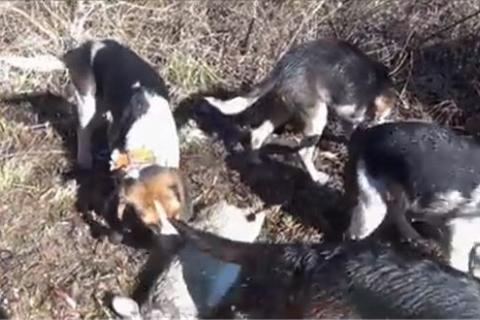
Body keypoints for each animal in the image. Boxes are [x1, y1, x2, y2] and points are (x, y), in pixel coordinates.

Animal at [204, 38, 396, 184]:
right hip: (318, 116)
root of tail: (285, 66)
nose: (380, 122)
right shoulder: (350, 114)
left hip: (283, 109)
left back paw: (255, 161)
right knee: (303, 152)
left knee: (258, 134)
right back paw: (317, 177)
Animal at [344, 121, 480, 274]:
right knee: (360, 226)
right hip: (371, 195)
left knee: (395, 211)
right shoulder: (461, 227)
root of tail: (367, 132)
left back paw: (416, 239)